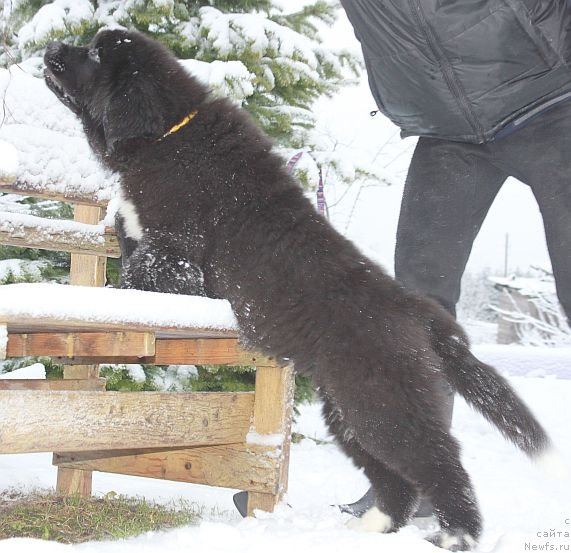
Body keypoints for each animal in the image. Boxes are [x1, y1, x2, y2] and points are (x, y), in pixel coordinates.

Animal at [45, 31, 556, 552]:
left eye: (95, 53)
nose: (52, 47)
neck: (168, 133)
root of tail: (420, 312)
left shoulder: (175, 255)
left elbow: (144, 279)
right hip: (350, 408)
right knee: (397, 477)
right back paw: (369, 528)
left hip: (384, 402)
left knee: (441, 464)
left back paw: (456, 534)